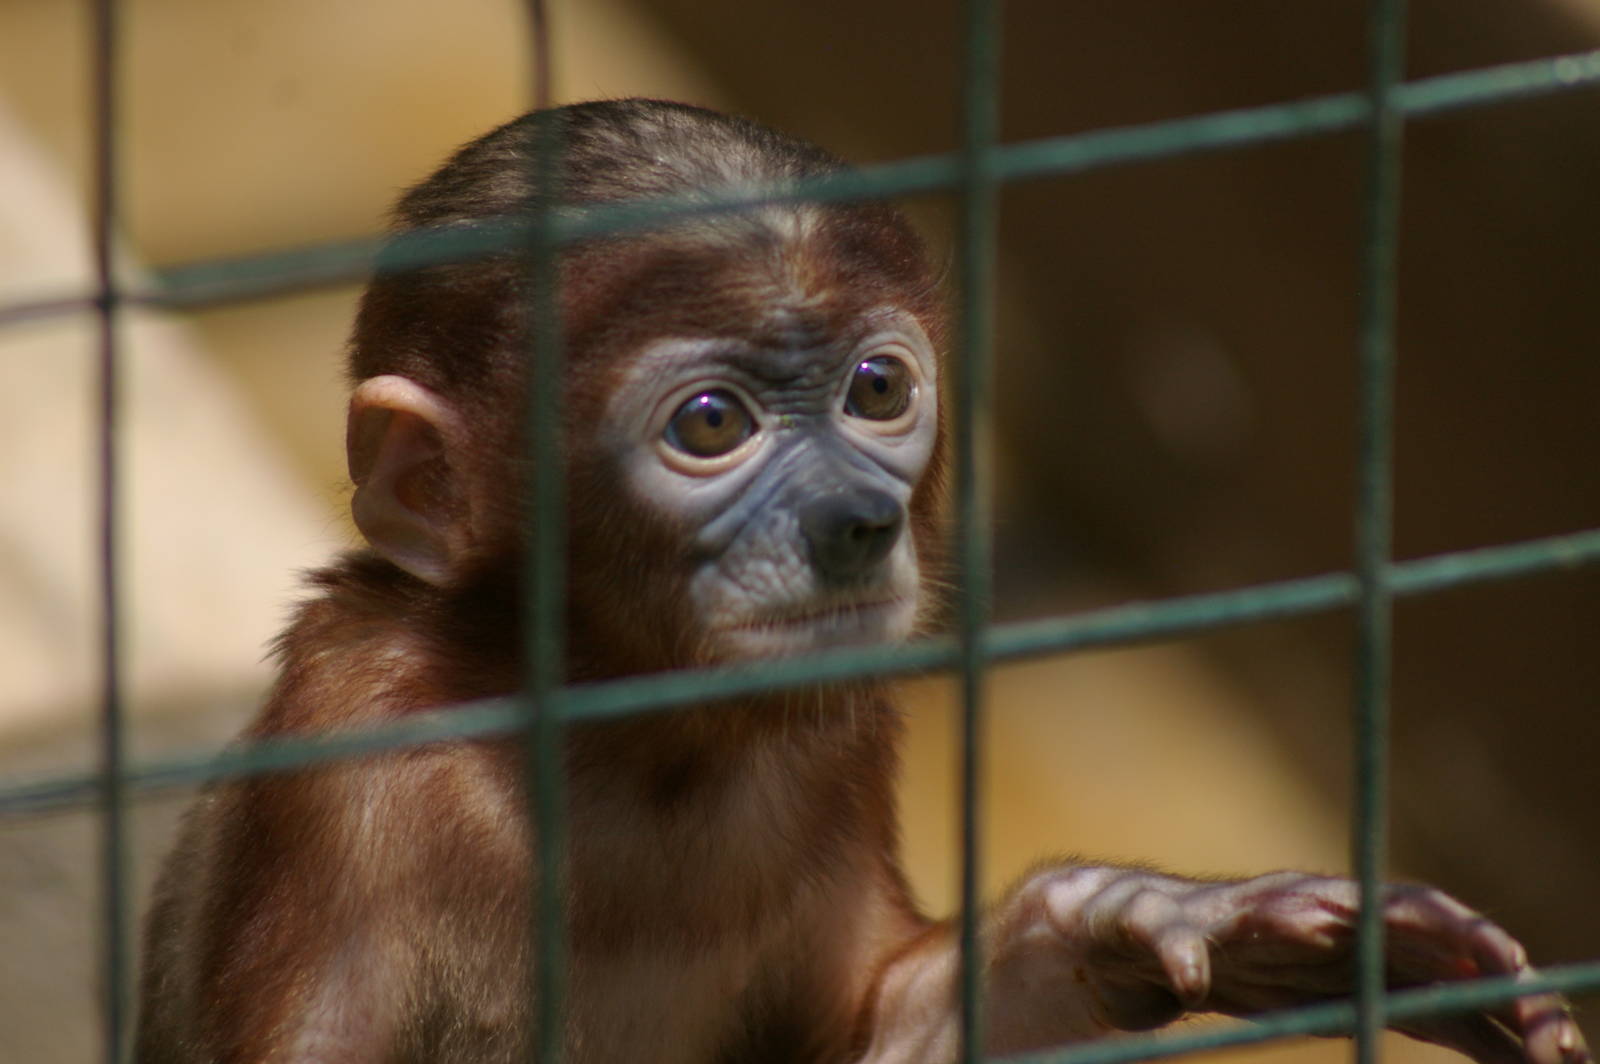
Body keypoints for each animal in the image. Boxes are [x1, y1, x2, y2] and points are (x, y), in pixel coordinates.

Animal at [135, 99, 1589, 1064]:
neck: (631, 753)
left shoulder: (831, 741)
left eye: (878, 391)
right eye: (709, 423)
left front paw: (1152, 922)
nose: (857, 520)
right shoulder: (356, 739)